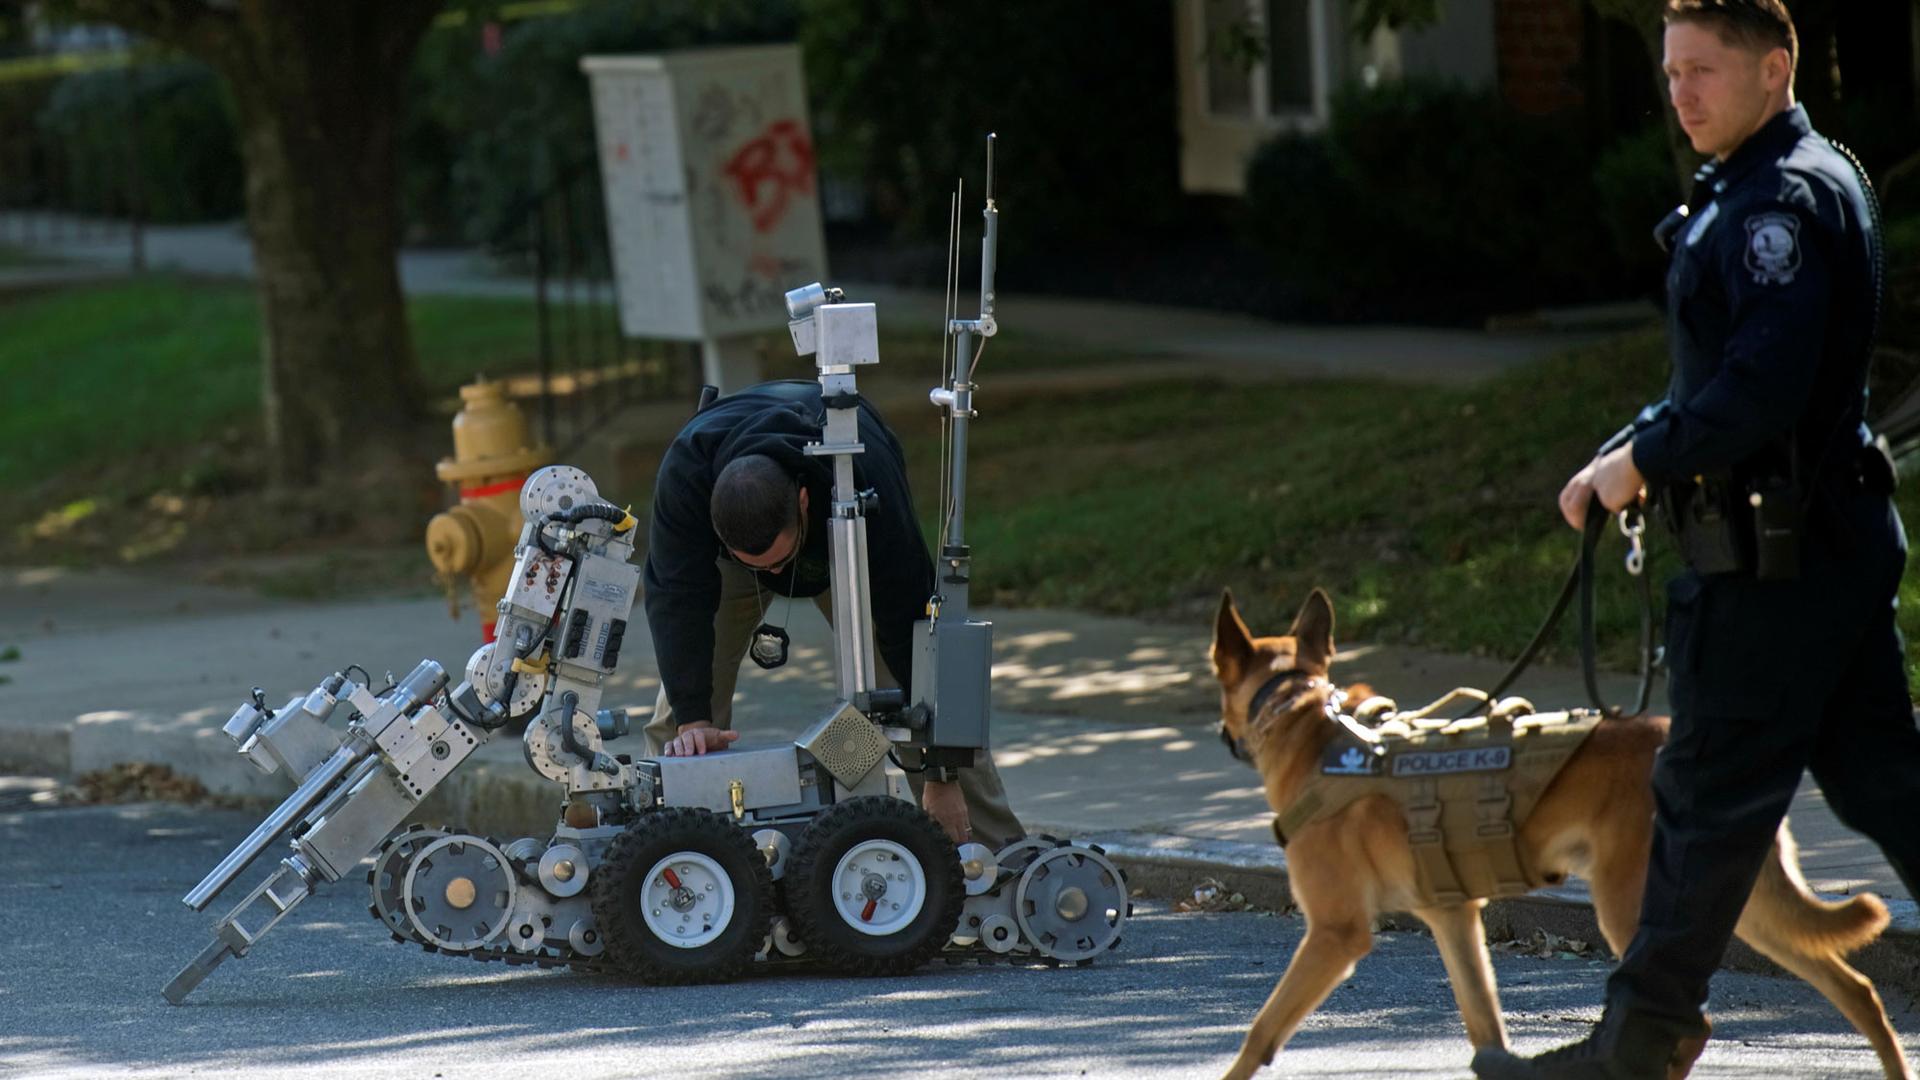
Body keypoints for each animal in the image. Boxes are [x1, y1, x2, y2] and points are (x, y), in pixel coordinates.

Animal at [1205, 588, 1912, 1076]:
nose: (1220, 735)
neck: (1302, 718)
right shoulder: (1454, 921)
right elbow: (1485, 1028)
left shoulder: (1335, 933)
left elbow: (1260, 1031)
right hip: (1744, 906)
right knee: (1856, 989)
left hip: (1635, 908)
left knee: (1694, 1024)